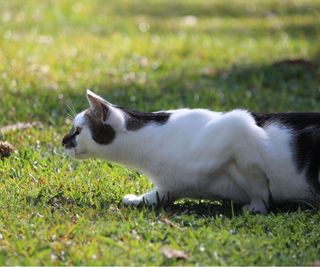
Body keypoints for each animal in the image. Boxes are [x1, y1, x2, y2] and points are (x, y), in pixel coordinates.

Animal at [62, 91, 320, 215]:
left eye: (77, 130)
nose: (63, 141)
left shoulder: (241, 129)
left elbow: (258, 184)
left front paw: (258, 206)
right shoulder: (170, 186)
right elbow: (156, 196)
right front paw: (137, 199)